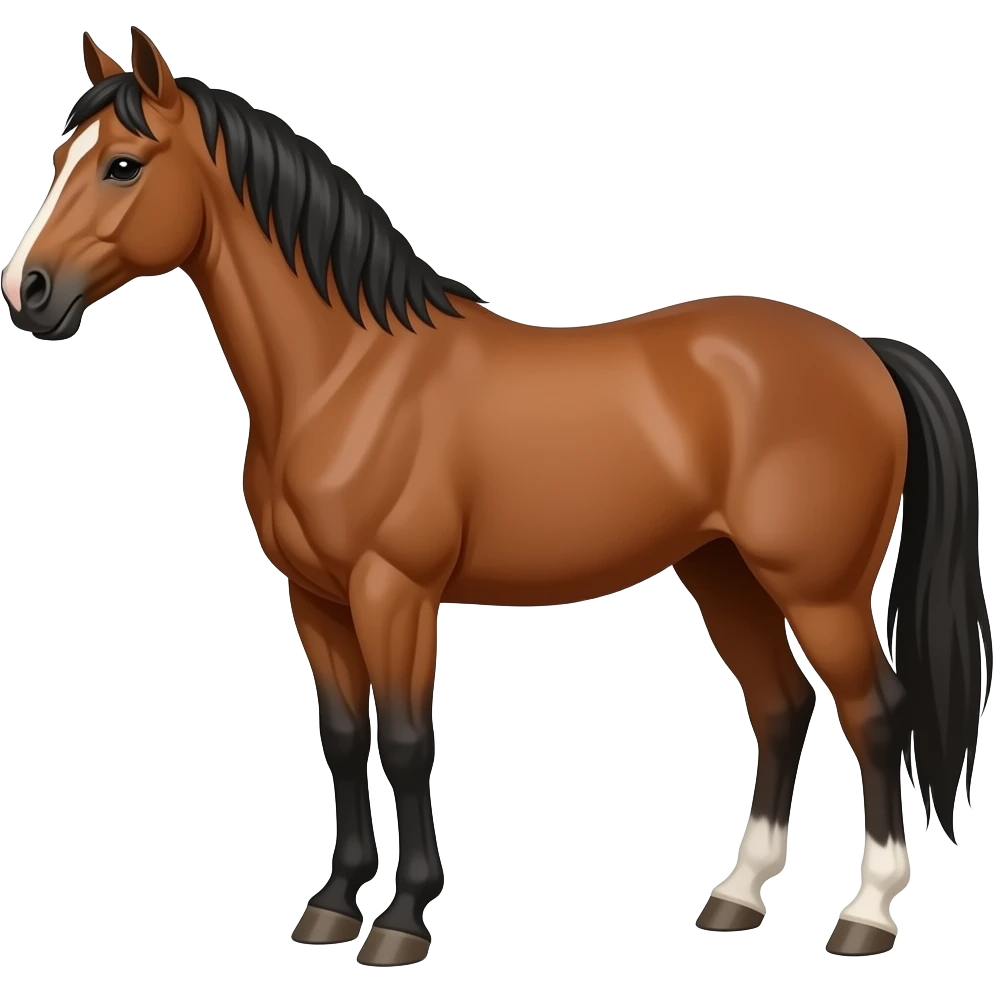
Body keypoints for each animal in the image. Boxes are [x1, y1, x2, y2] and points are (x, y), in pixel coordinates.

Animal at [3, 28, 989, 967]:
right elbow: (342, 736)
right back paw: (737, 898)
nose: (28, 291)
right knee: (780, 706)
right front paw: (333, 906)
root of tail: (864, 353)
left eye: (123, 164)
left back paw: (865, 915)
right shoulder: (314, 597)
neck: (349, 375)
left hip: (817, 588)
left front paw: (402, 921)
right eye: (58, 157)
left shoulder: (393, 591)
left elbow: (406, 742)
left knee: (875, 713)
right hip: (723, 572)